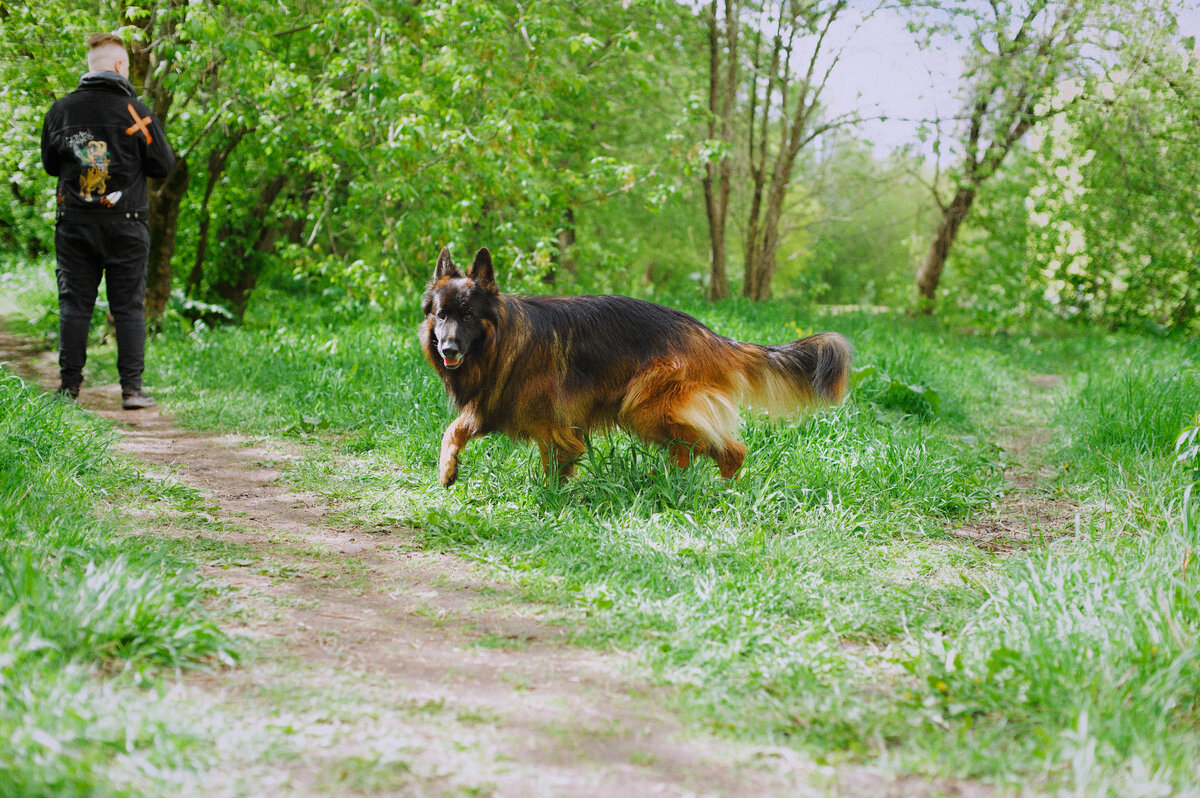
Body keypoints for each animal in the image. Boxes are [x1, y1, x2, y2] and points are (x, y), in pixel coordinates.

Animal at [422, 247, 854, 484]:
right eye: (441, 315)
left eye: (468, 314)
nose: (448, 349)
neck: (503, 341)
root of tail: (711, 336)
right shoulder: (493, 404)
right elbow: (452, 430)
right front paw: (446, 469)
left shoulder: (552, 423)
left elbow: (555, 464)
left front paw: (551, 498)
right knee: (696, 452)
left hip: (646, 407)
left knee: (727, 449)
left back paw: (717, 491)